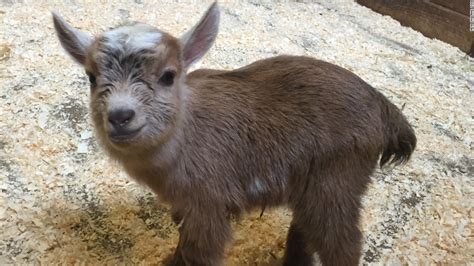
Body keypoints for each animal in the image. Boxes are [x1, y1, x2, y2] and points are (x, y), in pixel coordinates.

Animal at [52, 2, 414, 266]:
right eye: (91, 77)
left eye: (168, 76)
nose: (120, 115)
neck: (186, 137)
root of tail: (386, 110)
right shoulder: (186, 206)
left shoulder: (208, 204)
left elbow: (198, 254)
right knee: (305, 228)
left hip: (338, 180)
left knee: (342, 242)